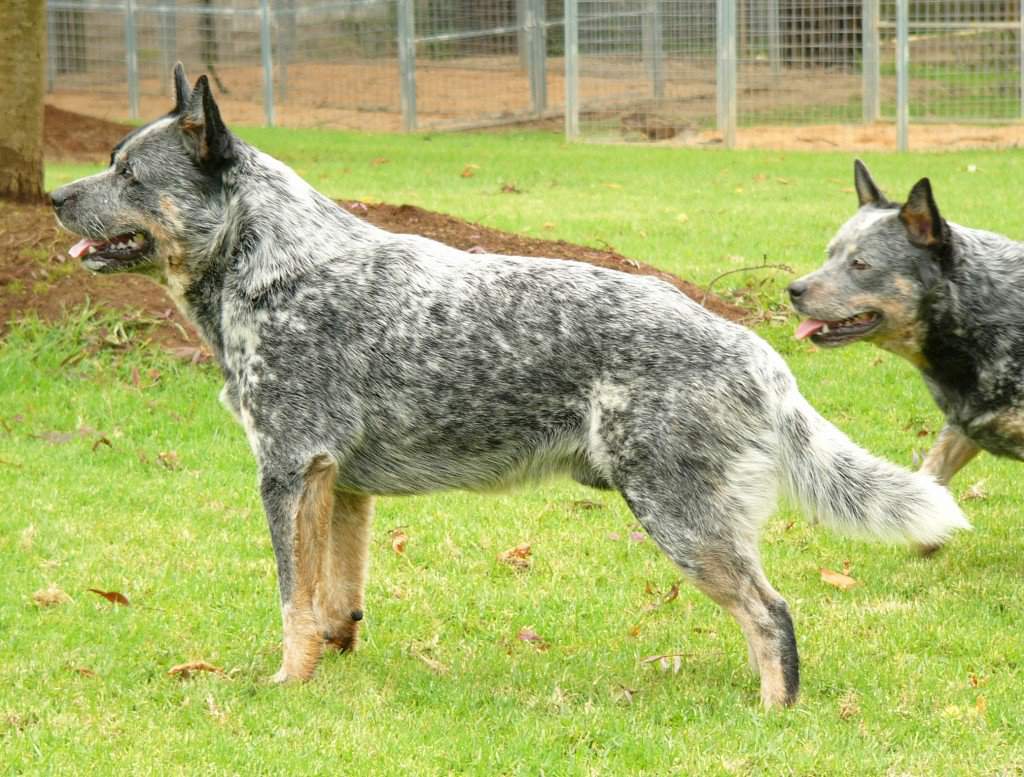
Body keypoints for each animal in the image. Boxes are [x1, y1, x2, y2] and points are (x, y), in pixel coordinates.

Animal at [51, 68, 970, 712]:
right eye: (107, 164)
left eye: (128, 174)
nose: (55, 195)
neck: (274, 264)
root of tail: (756, 351)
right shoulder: (337, 485)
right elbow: (334, 602)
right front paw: (328, 669)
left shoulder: (286, 471)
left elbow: (291, 599)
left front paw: (285, 685)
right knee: (760, 615)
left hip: (679, 517)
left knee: (771, 613)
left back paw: (773, 716)